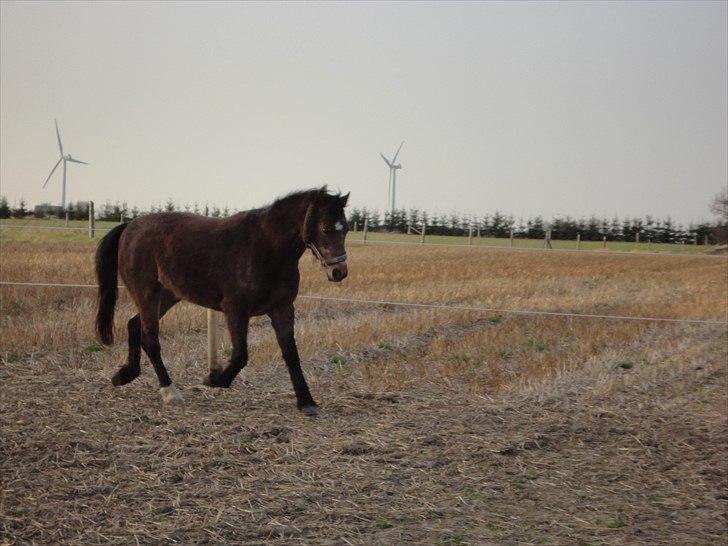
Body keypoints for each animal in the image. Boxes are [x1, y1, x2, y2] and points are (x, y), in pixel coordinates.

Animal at [94, 185, 350, 414]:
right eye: (325, 228)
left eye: (346, 229)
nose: (339, 272)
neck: (266, 248)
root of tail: (130, 226)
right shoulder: (235, 309)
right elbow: (240, 355)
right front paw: (215, 379)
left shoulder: (283, 309)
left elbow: (291, 353)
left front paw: (307, 402)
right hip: (147, 293)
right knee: (151, 339)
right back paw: (169, 391)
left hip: (167, 296)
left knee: (134, 325)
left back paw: (125, 375)